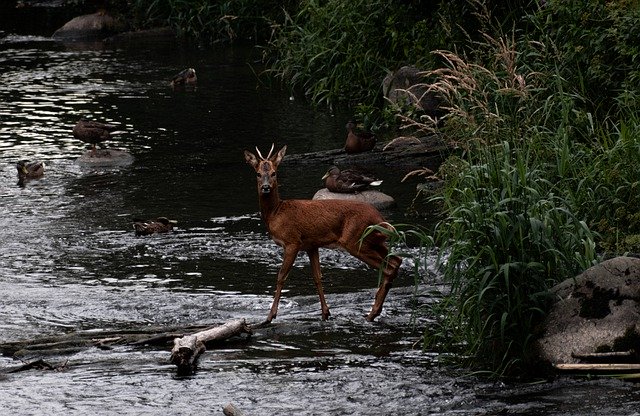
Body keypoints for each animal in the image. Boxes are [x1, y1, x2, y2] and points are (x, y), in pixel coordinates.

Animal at [245, 145, 400, 324]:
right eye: (257, 173)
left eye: (273, 173)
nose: (265, 187)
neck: (276, 213)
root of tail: (380, 218)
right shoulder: (311, 245)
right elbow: (317, 277)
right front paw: (325, 313)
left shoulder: (292, 241)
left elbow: (281, 276)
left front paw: (270, 316)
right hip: (375, 241)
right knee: (397, 260)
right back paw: (374, 311)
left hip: (354, 240)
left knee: (388, 267)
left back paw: (372, 313)